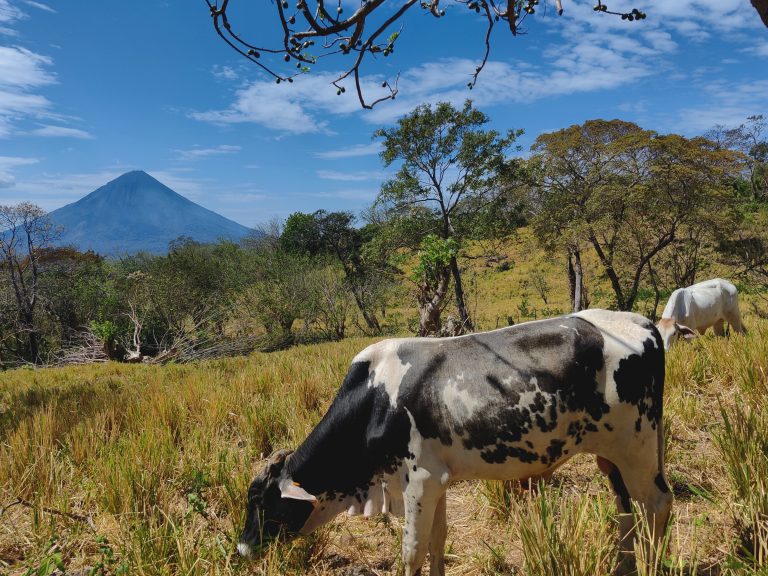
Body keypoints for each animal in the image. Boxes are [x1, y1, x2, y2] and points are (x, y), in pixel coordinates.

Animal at [238, 309, 672, 576]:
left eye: (260, 501)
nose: (242, 550)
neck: (376, 400)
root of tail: (642, 323)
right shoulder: (438, 481)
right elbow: (436, 541)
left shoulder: (419, 481)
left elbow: (412, 551)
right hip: (611, 456)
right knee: (626, 508)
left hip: (636, 448)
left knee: (657, 504)